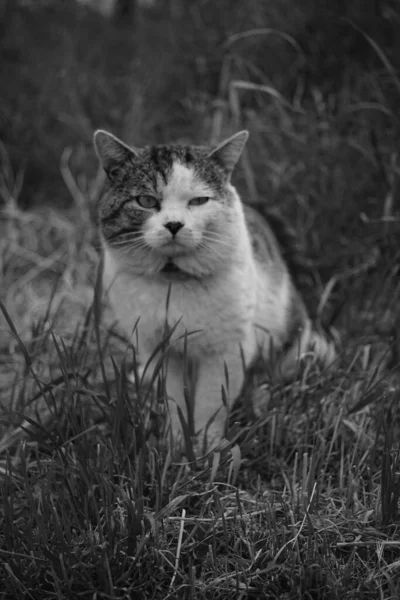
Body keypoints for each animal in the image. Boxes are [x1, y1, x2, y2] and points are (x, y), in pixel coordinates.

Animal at [93, 129, 334, 452]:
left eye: (199, 200)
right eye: (145, 200)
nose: (174, 224)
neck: (174, 282)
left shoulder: (228, 350)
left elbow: (211, 403)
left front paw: (207, 447)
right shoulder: (159, 347)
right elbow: (172, 398)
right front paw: (175, 442)